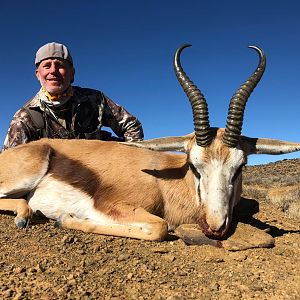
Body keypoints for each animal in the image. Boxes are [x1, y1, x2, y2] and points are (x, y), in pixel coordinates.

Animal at [0, 45, 298, 241]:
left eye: (239, 167)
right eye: (194, 166)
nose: (215, 226)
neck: (164, 183)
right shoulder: (110, 205)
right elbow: (160, 228)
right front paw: (65, 219)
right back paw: (26, 214)